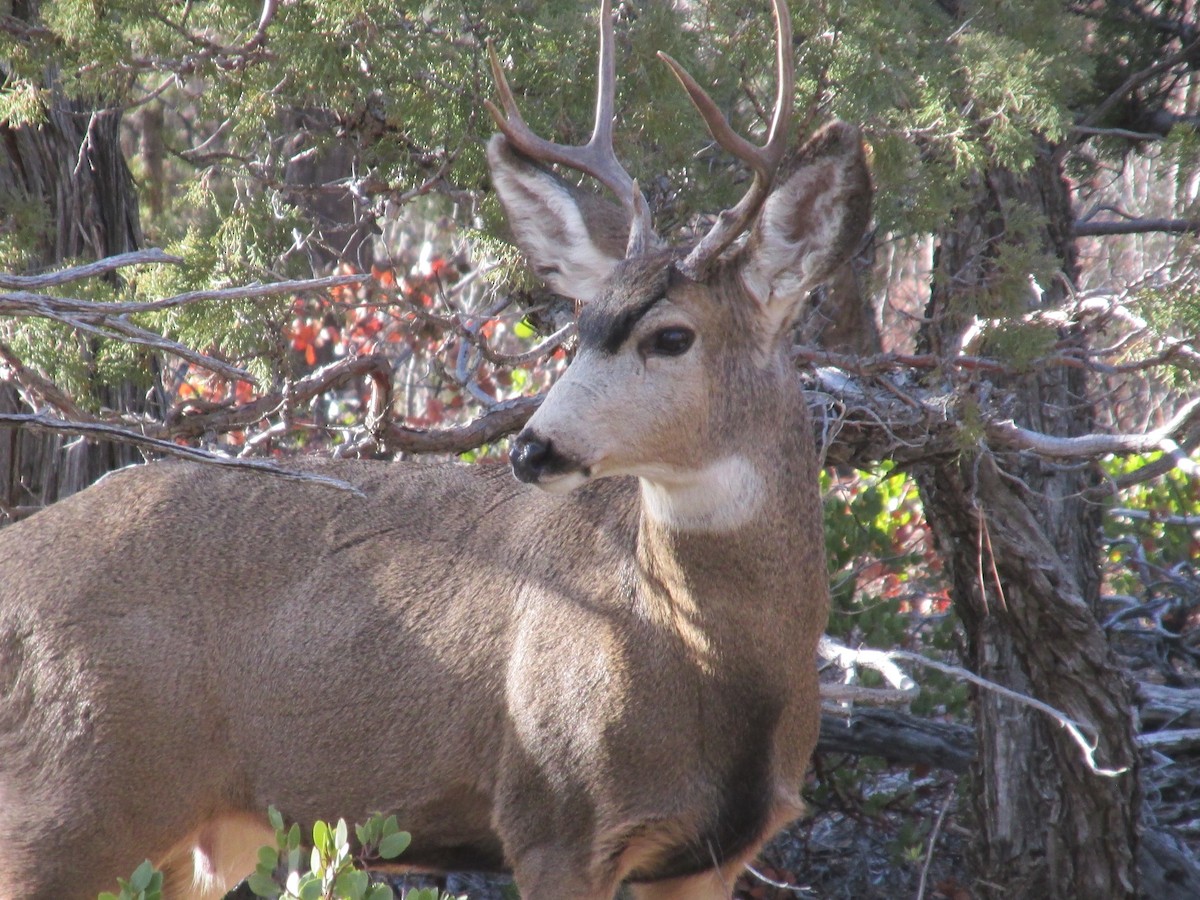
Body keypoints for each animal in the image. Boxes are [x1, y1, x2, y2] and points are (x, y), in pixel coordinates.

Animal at [0, 1, 870, 897]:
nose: (531, 450)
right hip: (71, 803)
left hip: (194, 835)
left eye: (671, 336)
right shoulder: (553, 817)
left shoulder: (713, 855)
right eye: (580, 323)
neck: (715, 667)